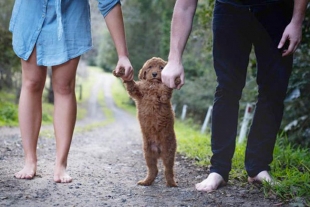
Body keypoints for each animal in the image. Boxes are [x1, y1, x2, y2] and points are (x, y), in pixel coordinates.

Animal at [113, 57, 179, 188]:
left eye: (161, 68)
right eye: (149, 67)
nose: (154, 74)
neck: (152, 84)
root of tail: (158, 150)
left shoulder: (163, 97)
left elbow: (165, 90)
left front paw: (174, 79)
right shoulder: (137, 92)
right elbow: (131, 84)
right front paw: (122, 73)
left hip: (168, 152)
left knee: (168, 169)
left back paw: (172, 183)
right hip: (148, 153)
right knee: (153, 169)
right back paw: (146, 182)